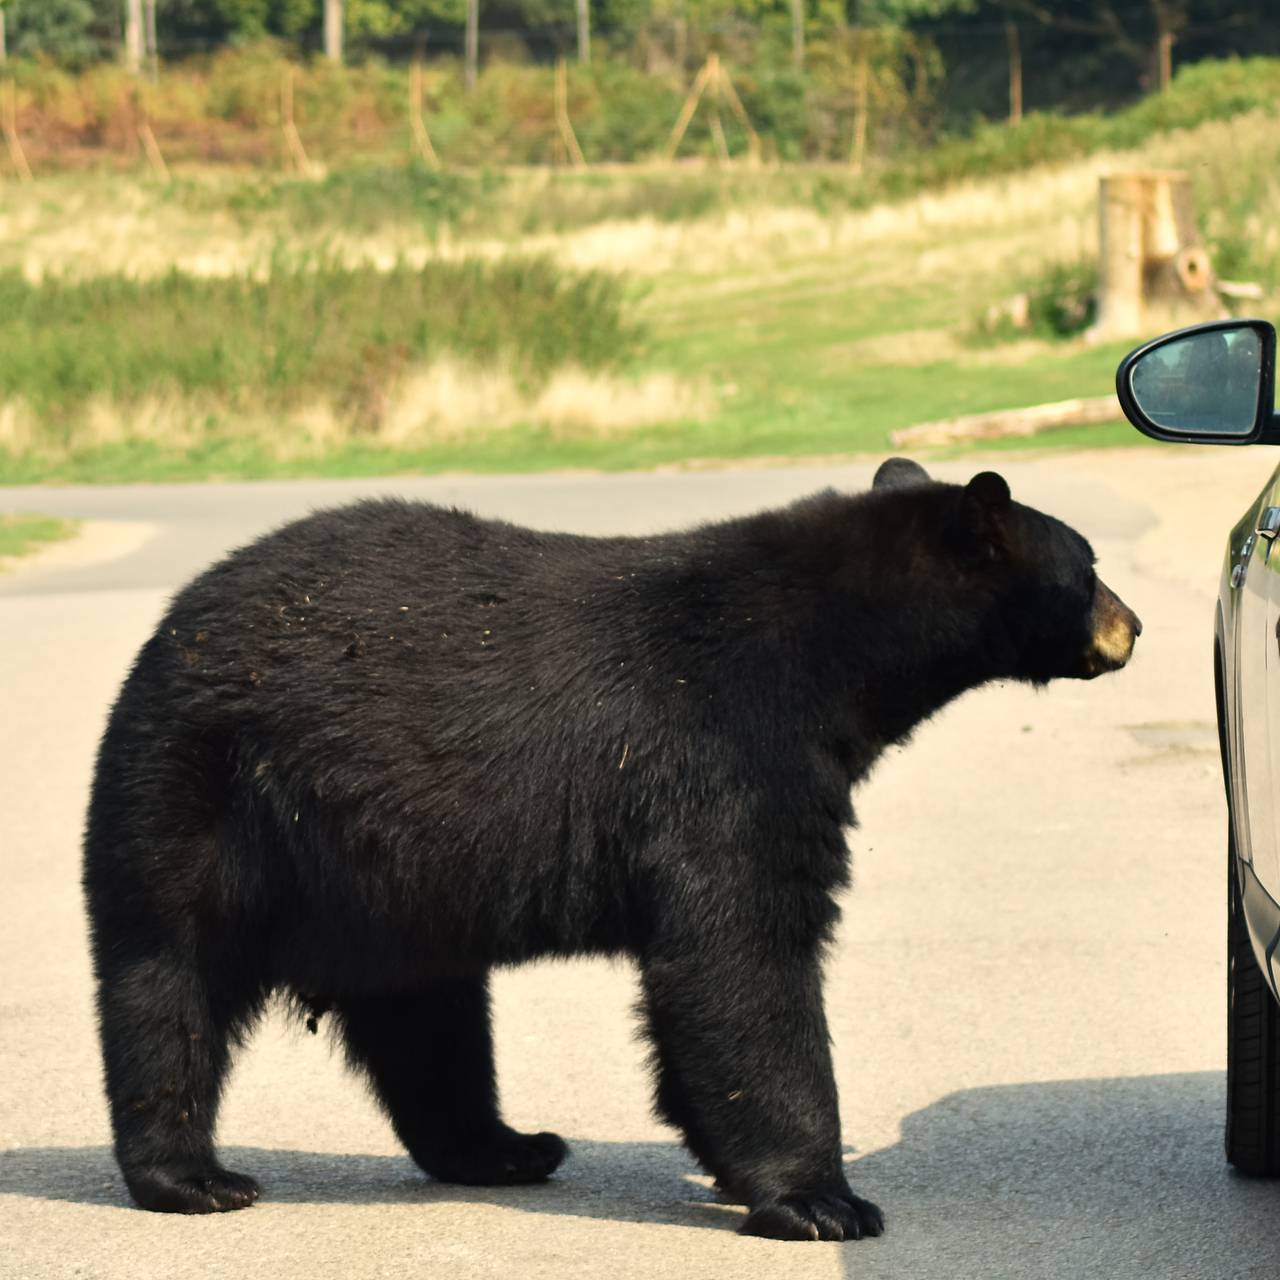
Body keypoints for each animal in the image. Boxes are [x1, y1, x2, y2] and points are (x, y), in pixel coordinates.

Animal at [82, 460, 1141, 1239]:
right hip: (200, 795)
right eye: (1088, 564)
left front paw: (733, 1170)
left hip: (394, 877)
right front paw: (823, 1201)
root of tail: (173, 626)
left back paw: (507, 1147)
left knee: (427, 1019)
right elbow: (743, 954)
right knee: (168, 979)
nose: (1132, 626)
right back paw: (192, 1177)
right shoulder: (724, 758)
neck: (830, 656)